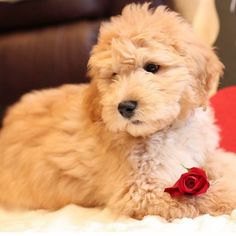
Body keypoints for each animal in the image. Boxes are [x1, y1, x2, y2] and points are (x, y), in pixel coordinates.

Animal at [0, 4, 236, 221]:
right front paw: (230, 193)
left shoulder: (203, 153)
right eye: (113, 75)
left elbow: (224, 161)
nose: (124, 107)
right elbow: (203, 196)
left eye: (152, 67)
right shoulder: (140, 190)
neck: (166, 129)